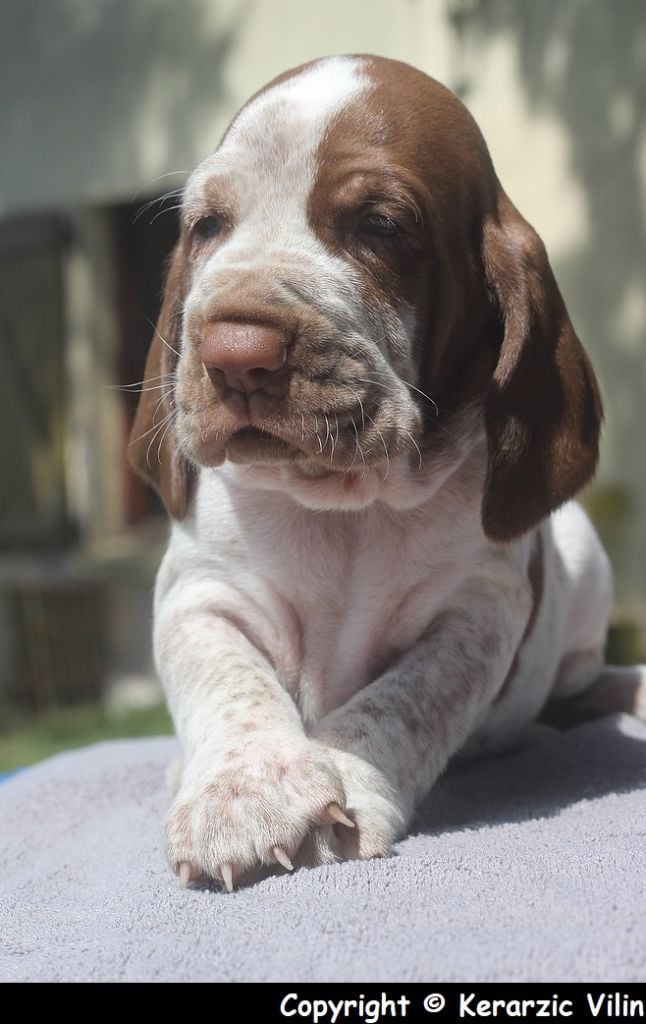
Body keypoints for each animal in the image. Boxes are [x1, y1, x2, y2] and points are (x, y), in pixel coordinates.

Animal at [128, 56, 642, 888]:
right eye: (207, 226)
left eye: (380, 226)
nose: (236, 354)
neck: (341, 501)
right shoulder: (201, 594)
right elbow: (229, 683)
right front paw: (245, 791)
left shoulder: (473, 618)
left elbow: (398, 707)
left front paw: (343, 784)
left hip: (583, 563)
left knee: (580, 688)